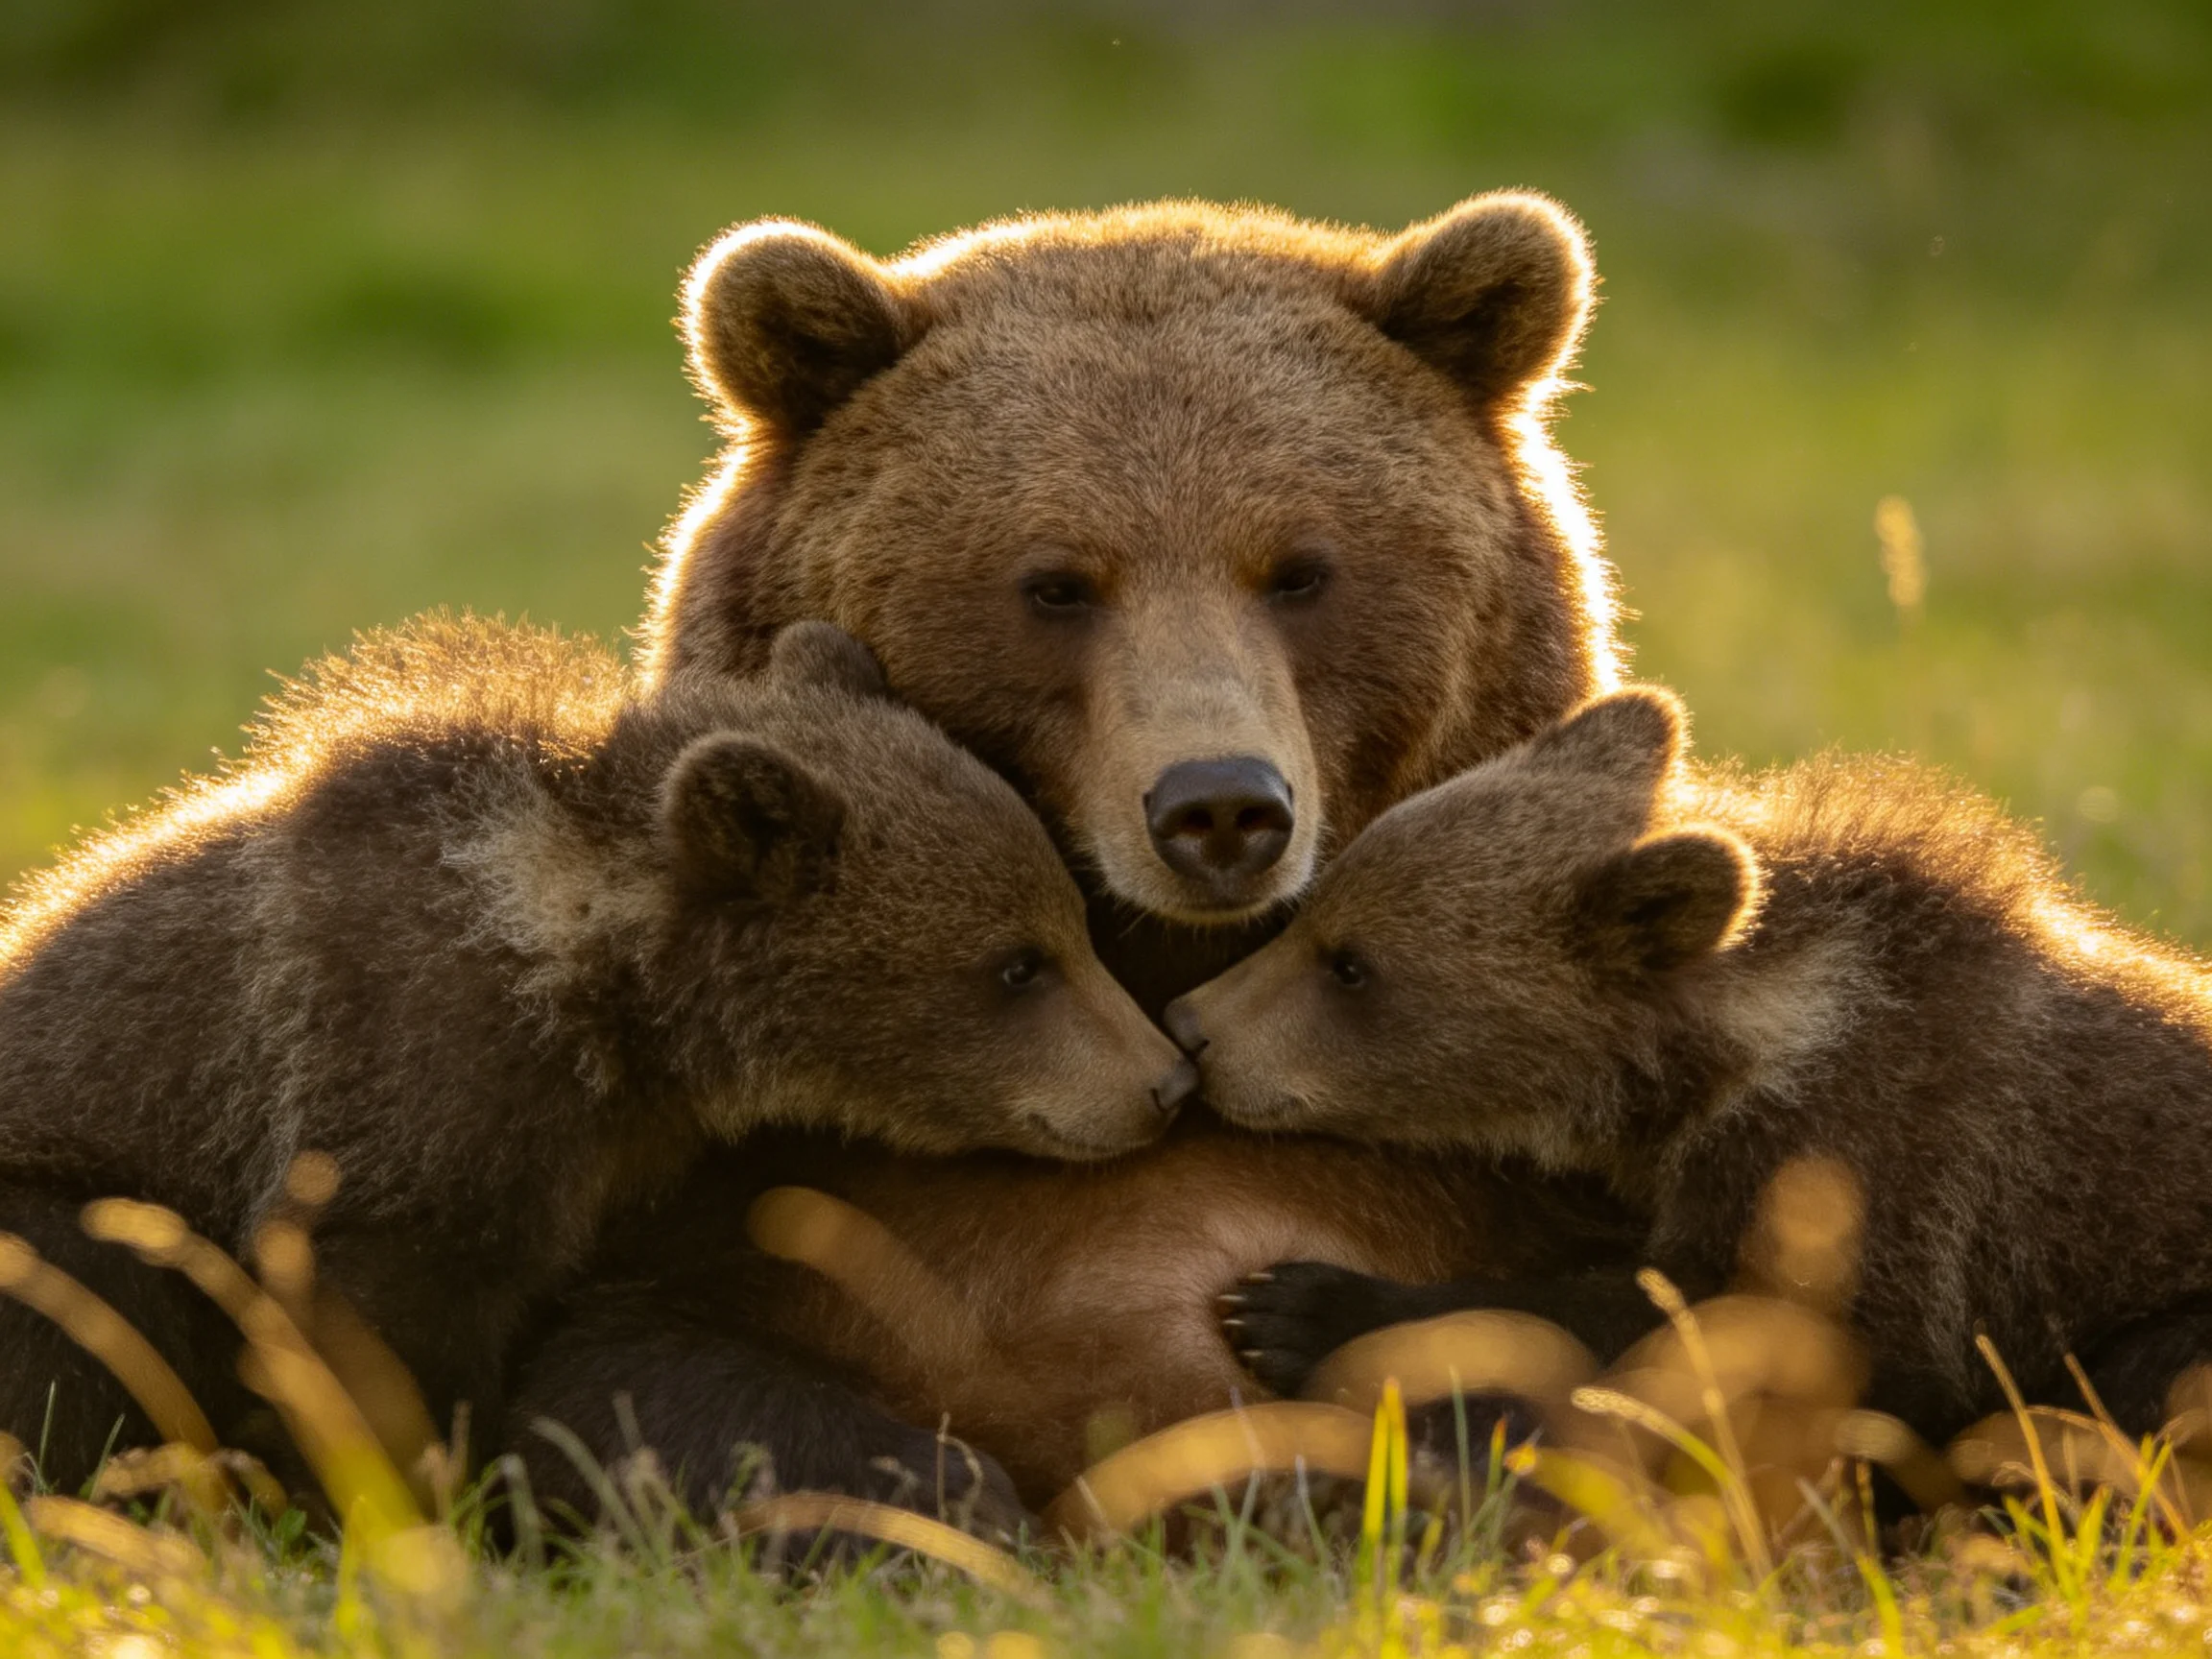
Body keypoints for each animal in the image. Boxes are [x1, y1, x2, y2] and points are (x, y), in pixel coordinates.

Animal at [505, 192, 1641, 1518]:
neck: (1153, 970)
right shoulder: (734, 1148)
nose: (1221, 808)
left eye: (1301, 570)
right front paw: (946, 1498)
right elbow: (627, 1374)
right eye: (1056, 584)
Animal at [1175, 687, 2212, 1451]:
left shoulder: (1882, 1169)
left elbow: (1725, 1326)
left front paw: (1299, 1308)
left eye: (1352, 966)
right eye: (1315, 912)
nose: (1193, 1028)